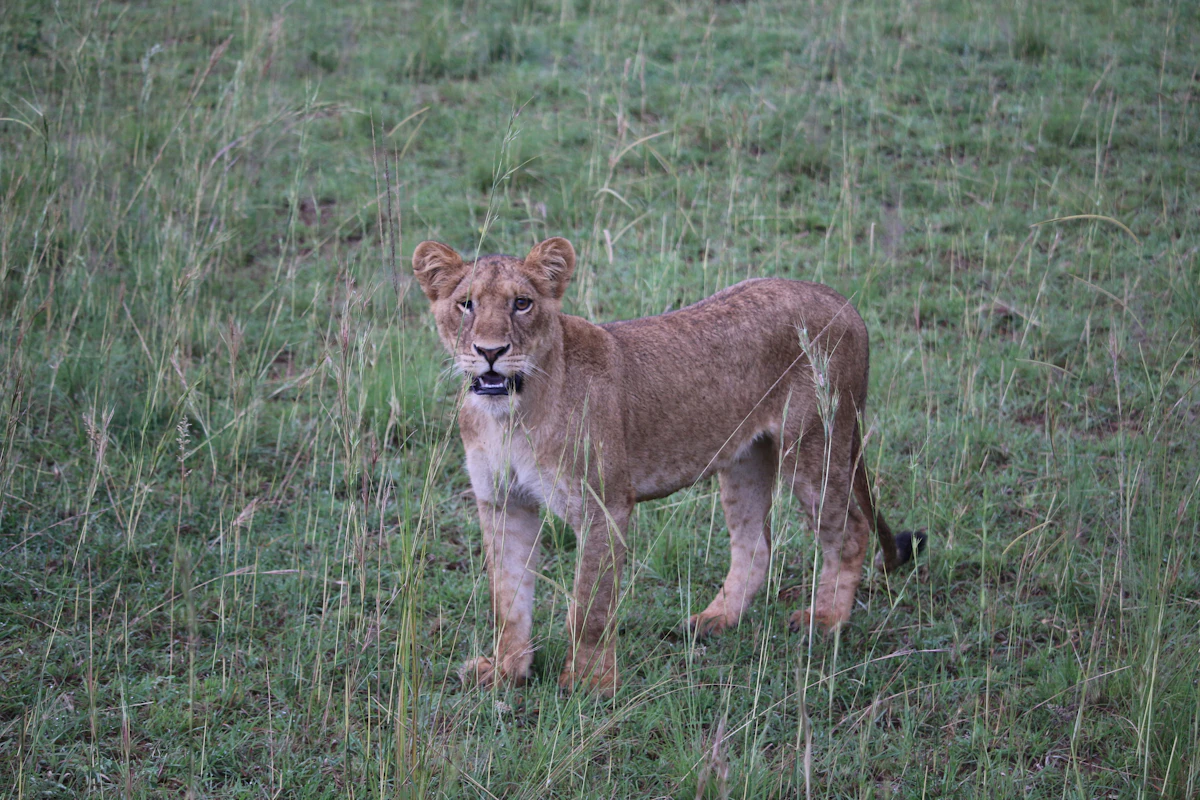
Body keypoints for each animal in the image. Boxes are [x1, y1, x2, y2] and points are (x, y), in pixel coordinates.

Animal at [412, 236, 922, 696]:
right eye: (465, 305)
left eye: (522, 304)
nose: (490, 352)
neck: (509, 414)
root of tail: (841, 300)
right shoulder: (502, 503)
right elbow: (508, 599)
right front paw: (506, 672)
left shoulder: (604, 505)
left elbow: (590, 606)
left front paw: (590, 684)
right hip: (746, 459)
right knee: (755, 545)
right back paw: (716, 619)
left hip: (815, 446)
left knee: (850, 530)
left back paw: (826, 621)